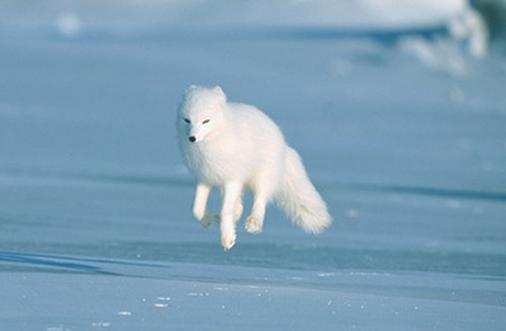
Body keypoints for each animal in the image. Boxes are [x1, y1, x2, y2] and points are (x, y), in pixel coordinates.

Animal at [178, 85, 332, 252]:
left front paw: (227, 238)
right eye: (187, 120)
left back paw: (254, 223)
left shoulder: (233, 179)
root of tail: (283, 143)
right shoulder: (204, 177)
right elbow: (196, 209)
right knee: (239, 206)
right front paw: (207, 220)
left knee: (261, 198)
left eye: (206, 121)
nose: (192, 138)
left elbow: (226, 210)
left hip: (262, 176)